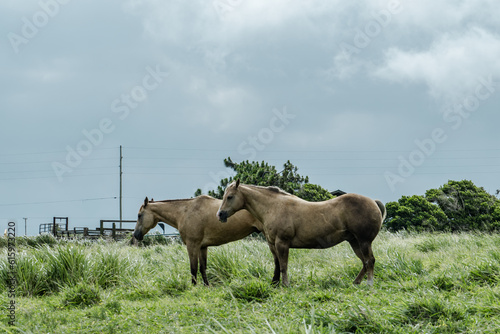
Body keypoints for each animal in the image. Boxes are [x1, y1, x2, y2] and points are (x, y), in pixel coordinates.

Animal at [133, 197, 266, 286]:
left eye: (139, 215)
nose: (135, 235)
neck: (185, 212)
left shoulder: (192, 245)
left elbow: (193, 268)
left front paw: (193, 286)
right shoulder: (202, 247)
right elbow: (203, 268)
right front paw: (206, 285)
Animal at [216, 180, 386, 288]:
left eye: (229, 196)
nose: (220, 214)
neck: (274, 207)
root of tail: (373, 202)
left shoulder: (282, 243)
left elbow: (284, 265)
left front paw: (285, 285)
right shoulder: (272, 244)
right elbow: (277, 264)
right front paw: (274, 283)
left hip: (364, 242)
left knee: (370, 261)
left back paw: (369, 284)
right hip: (354, 242)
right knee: (364, 262)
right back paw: (356, 283)